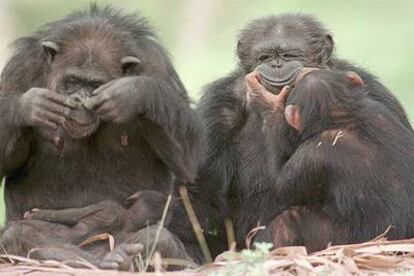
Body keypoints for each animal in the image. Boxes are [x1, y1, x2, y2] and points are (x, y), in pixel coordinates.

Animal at [0, 3, 202, 268]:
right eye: (72, 81)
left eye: (94, 85)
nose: (79, 100)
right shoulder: (20, 67)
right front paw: (30, 106)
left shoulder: (157, 65)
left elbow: (187, 158)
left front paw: (133, 92)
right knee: (19, 233)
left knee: (158, 238)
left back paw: (121, 258)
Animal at [246, 68, 414, 252]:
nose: (303, 71)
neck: (344, 114)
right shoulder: (380, 108)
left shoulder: (312, 154)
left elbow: (279, 186)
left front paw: (267, 103)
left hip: (341, 242)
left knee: (287, 220)